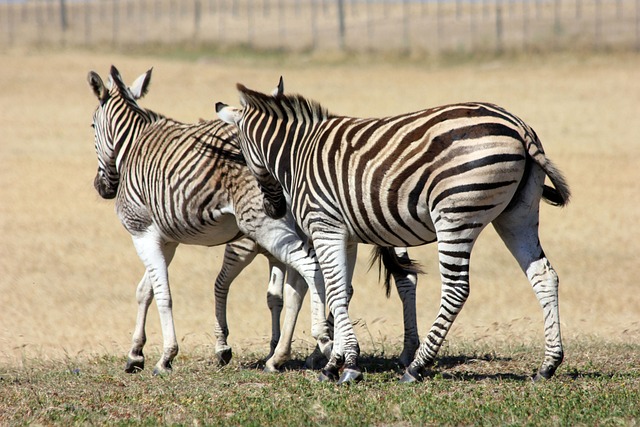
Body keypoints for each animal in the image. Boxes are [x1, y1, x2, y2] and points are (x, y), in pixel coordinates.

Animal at [87, 66, 420, 374]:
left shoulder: (143, 231)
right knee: (384, 279)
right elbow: (146, 290)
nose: (102, 187)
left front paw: (166, 356)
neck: (133, 145)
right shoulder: (166, 239)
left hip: (268, 228)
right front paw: (136, 354)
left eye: (91, 124)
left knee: (314, 274)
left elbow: (164, 293)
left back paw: (322, 344)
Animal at [215, 78, 568, 386]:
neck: (298, 152)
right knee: (544, 276)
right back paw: (548, 366)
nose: (274, 209)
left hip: (455, 215)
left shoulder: (325, 227)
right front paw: (334, 362)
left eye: (241, 153)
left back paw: (417, 367)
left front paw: (348, 366)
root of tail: (519, 127)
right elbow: (341, 293)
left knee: (456, 289)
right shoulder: (345, 235)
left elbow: (334, 291)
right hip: (517, 215)